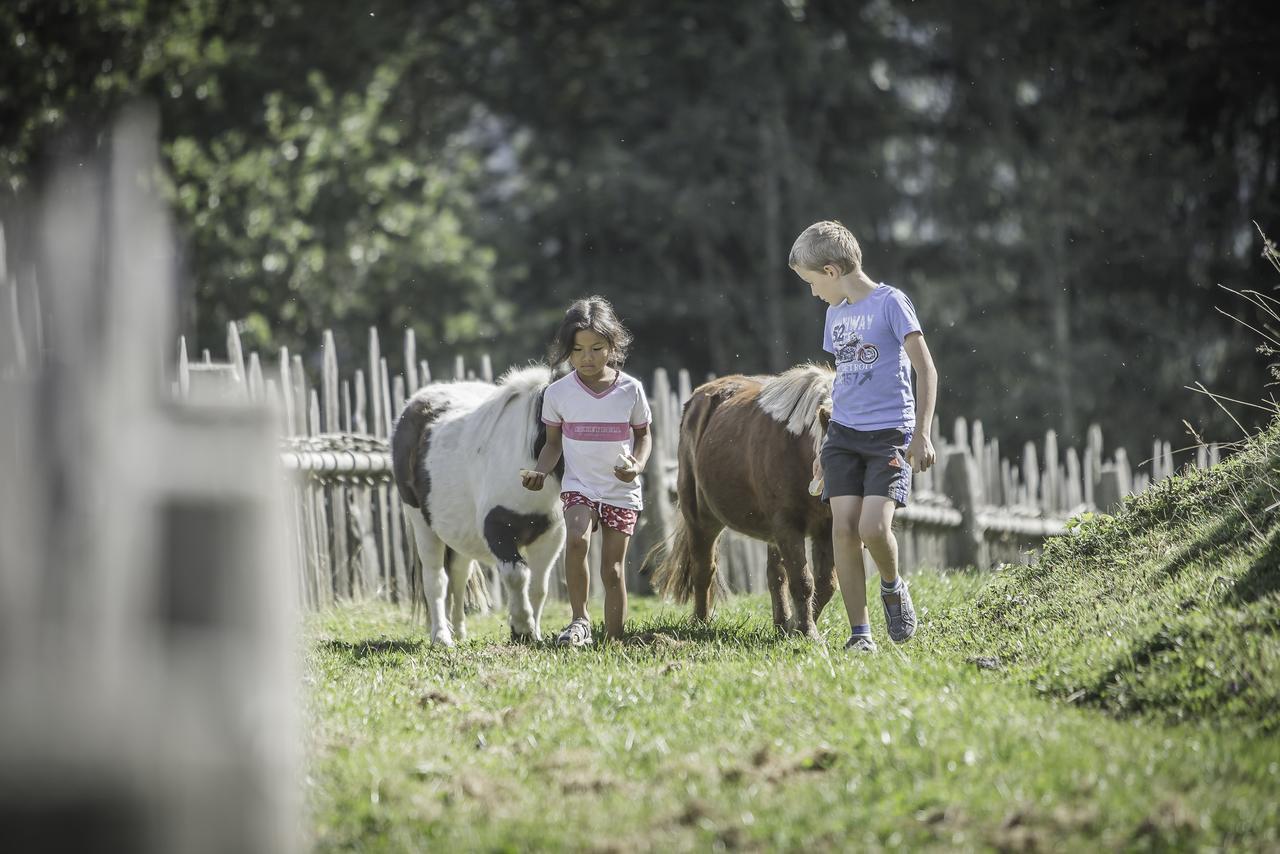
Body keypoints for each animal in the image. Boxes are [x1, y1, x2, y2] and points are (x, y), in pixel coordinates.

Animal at [391, 363, 563, 645]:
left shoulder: (550, 536)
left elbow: (539, 587)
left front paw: (533, 633)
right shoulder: (497, 529)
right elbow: (517, 575)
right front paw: (522, 627)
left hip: (459, 533)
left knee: (458, 576)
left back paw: (459, 632)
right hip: (422, 523)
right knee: (436, 579)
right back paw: (441, 636)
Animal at [655, 363, 834, 637]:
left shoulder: (827, 527)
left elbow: (825, 583)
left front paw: (796, 627)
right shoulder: (787, 524)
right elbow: (803, 580)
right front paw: (807, 632)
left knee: (775, 576)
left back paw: (782, 623)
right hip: (700, 518)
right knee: (703, 569)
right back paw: (700, 622)